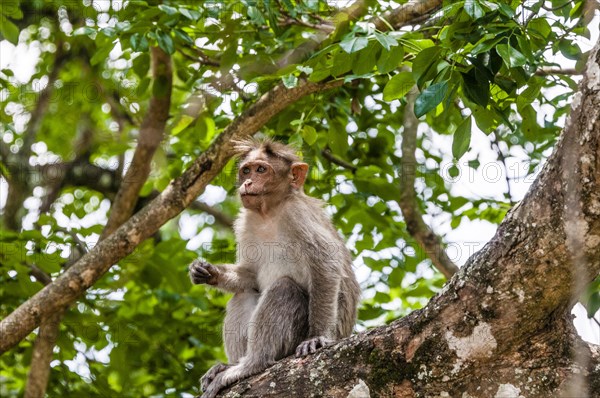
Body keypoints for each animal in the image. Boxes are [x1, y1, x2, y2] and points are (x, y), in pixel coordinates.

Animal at [190, 138, 360, 396]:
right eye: (246, 170)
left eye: (261, 170)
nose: (248, 182)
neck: (268, 213)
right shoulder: (245, 222)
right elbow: (250, 275)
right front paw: (208, 272)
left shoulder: (298, 215)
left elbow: (326, 266)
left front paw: (317, 337)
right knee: (244, 294)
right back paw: (231, 365)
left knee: (284, 288)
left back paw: (250, 365)